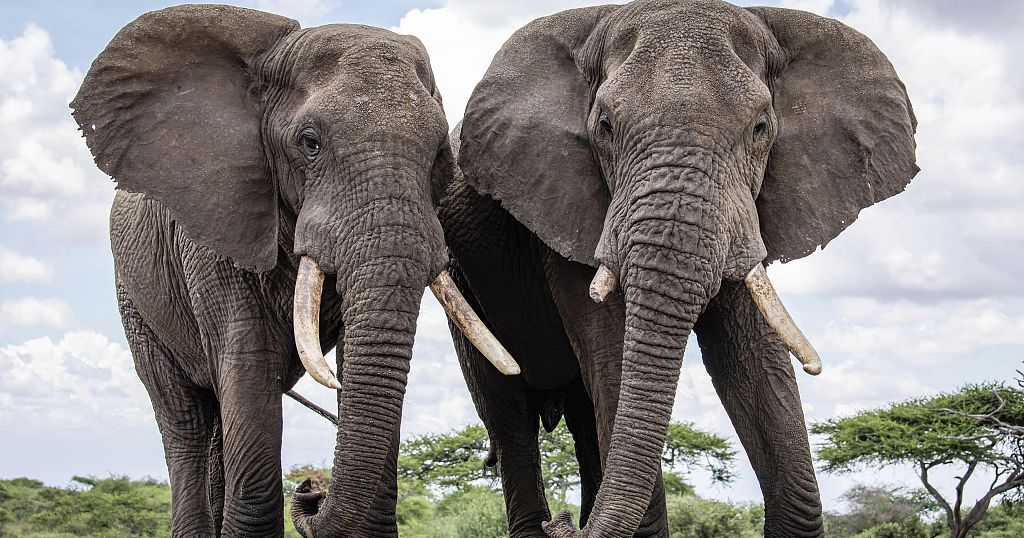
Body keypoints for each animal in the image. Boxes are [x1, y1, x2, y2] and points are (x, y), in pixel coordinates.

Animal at [70, 5, 520, 536]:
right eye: (310, 144)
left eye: (439, 155)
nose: (310, 489)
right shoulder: (215, 229)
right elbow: (250, 362)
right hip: (134, 299)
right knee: (184, 419)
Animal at [440, 1, 921, 536]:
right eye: (604, 126)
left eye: (761, 126)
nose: (562, 524)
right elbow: (612, 351)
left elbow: (753, 353)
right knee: (509, 416)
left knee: (584, 417)